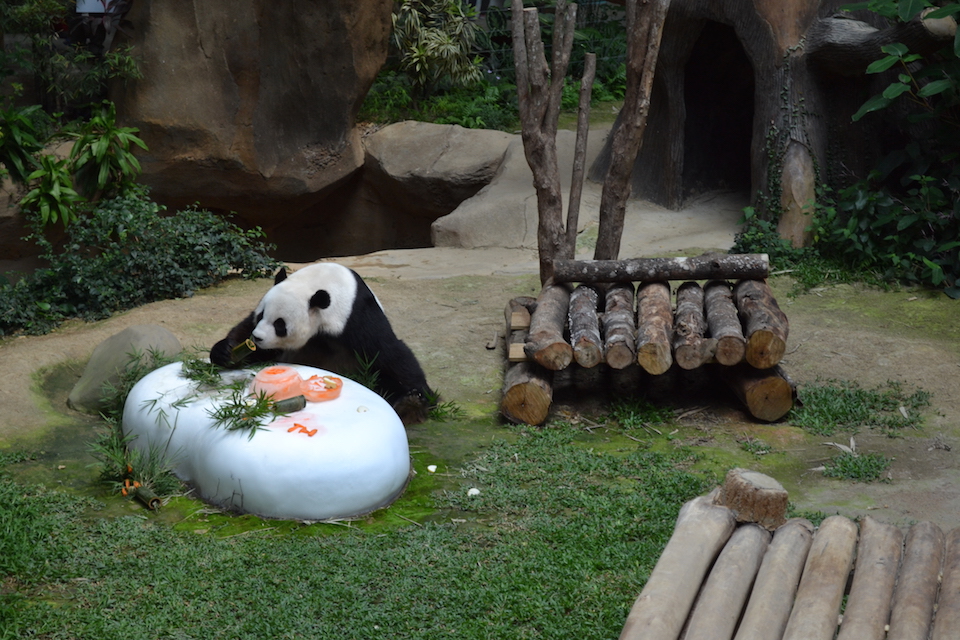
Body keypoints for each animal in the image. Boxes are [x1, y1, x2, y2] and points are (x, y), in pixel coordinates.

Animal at [210, 263, 434, 425]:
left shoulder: (355, 315)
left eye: (280, 325)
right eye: (261, 314)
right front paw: (225, 351)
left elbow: (388, 351)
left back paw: (408, 405)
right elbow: (245, 331)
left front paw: (420, 397)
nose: (257, 338)